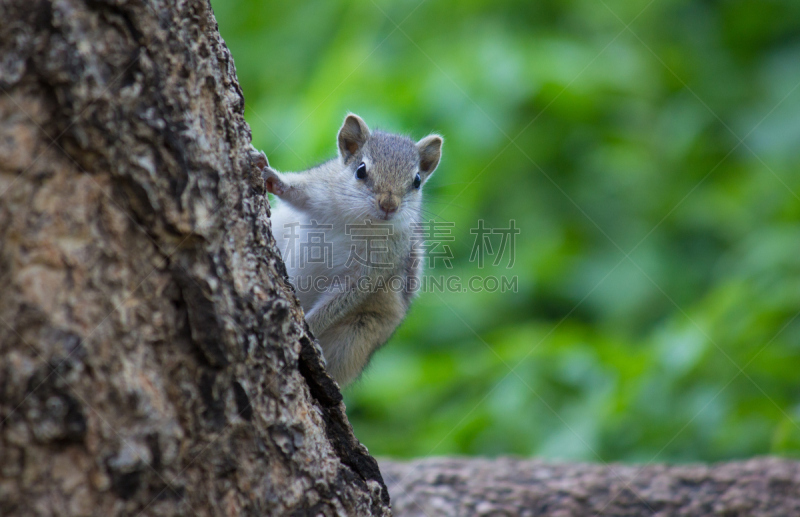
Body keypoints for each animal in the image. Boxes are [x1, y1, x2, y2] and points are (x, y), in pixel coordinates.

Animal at [260, 114, 444, 388]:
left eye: (417, 181)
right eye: (361, 170)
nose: (389, 204)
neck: (360, 221)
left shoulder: (374, 267)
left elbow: (343, 297)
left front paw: (307, 327)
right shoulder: (320, 189)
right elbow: (295, 192)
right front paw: (268, 174)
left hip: (358, 335)